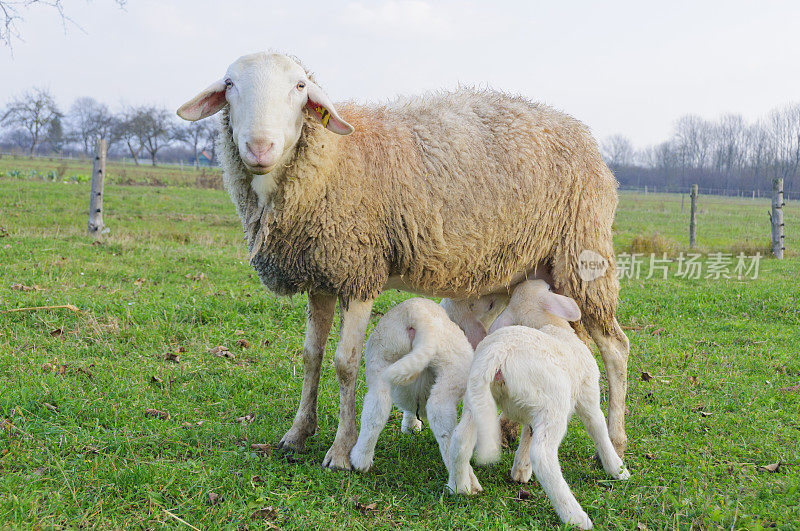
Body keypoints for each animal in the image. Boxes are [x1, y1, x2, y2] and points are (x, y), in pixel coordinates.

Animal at [450, 280, 624, 528]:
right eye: (549, 291)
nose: (548, 283)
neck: (549, 326)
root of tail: (497, 356)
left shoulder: (531, 411)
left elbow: (527, 432)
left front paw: (520, 470)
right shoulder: (588, 393)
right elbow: (598, 429)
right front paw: (617, 469)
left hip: (477, 400)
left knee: (459, 439)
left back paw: (460, 487)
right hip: (555, 407)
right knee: (543, 455)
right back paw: (575, 516)